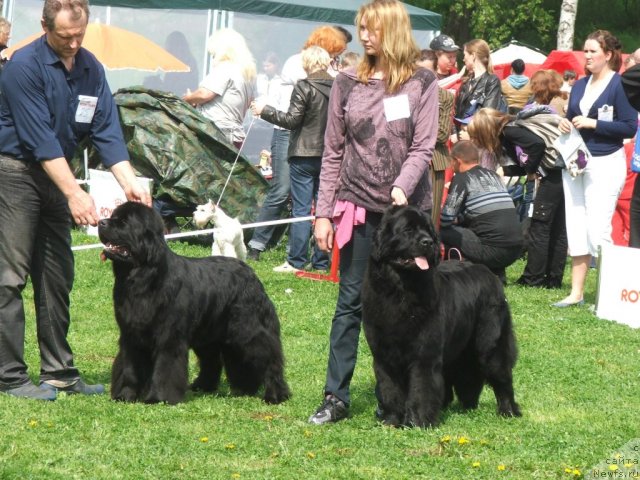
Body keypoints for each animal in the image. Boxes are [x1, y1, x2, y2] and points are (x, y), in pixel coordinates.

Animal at [97, 201, 290, 404]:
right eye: (113, 216)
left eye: (125, 222)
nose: (101, 222)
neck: (142, 277)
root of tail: (251, 274)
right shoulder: (130, 334)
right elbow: (128, 367)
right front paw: (125, 394)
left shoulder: (169, 336)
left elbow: (165, 367)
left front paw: (159, 397)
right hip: (210, 332)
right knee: (214, 360)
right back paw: (215, 386)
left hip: (247, 329)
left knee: (269, 359)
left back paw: (276, 394)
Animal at [362, 206, 516, 428]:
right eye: (407, 230)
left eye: (427, 230)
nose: (427, 242)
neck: (401, 291)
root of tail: (490, 274)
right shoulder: (384, 355)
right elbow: (390, 389)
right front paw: (391, 420)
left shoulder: (424, 354)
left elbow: (422, 387)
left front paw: (418, 423)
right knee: (466, 376)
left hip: (490, 343)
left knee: (501, 376)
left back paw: (508, 411)